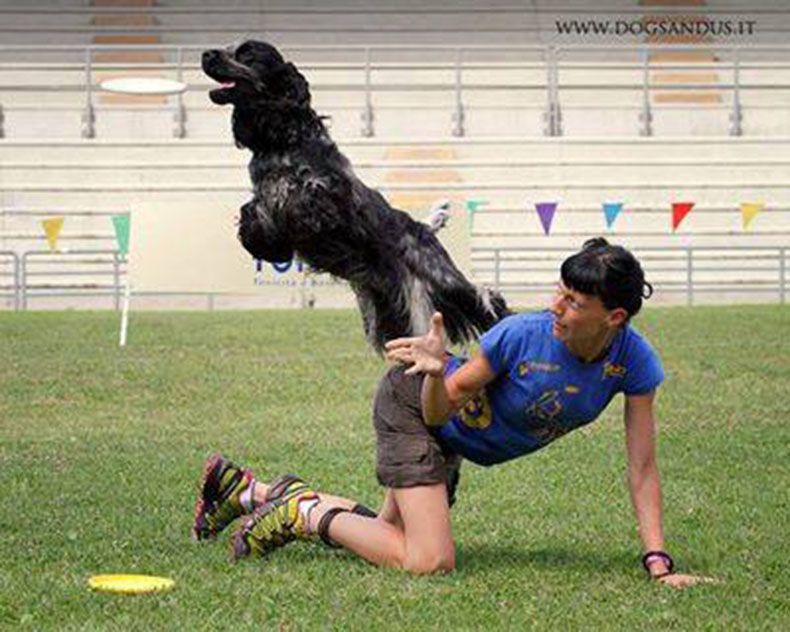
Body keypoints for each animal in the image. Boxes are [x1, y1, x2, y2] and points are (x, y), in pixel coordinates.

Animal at [202, 40, 510, 352]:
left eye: (248, 54)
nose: (206, 54)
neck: (280, 140)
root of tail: (424, 228)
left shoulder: (330, 197)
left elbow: (305, 199)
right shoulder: (264, 200)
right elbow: (253, 215)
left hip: (440, 275)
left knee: (488, 300)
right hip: (397, 304)